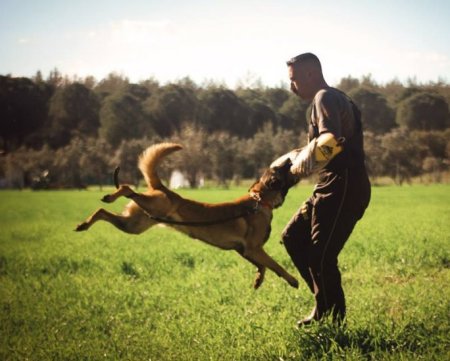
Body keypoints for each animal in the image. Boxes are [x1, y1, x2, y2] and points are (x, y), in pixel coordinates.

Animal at [76, 142, 298, 288]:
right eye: (280, 169)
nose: (290, 158)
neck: (260, 200)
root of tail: (162, 188)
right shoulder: (254, 249)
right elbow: (276, 265)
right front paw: (292, 280)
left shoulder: (245, 251)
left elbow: (263, 266)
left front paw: (258, 279)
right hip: (152, 206)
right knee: (126, 188)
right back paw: (110, 195)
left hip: (133, 225)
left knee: (103, 212)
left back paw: (84, 224)